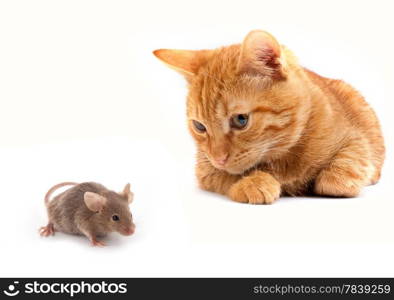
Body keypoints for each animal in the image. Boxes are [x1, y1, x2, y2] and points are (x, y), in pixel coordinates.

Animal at [153, 29, 384, 204]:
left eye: (241, 120)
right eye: (200, 126)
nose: (219, 158)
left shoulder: (356, 137)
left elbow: (347, 166)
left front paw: (338, 178)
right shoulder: (205, 169)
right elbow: (226, 176)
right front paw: (254, 182)